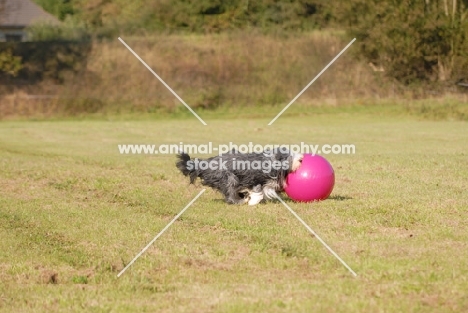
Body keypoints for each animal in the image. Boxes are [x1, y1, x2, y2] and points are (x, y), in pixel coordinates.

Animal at [176, 149, 304, 205]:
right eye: (289, 156)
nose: (301, 159)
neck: (271, 160)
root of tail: (205, 164)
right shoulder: (256, 179)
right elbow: (258, 191)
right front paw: (253, 201)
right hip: (228, 178)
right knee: (230, 194)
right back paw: (240, 200)